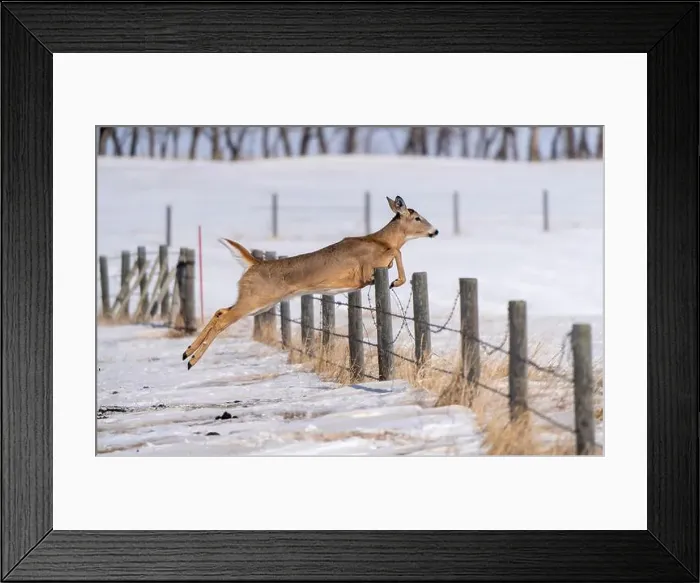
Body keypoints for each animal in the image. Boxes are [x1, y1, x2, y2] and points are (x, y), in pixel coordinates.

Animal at [182, 195, 439, 369]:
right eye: (417, 217)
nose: (435, 231)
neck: (379, 240)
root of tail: (254, 264)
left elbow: (395, 254)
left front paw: (395, 279)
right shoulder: (367, 268)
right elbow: (397, 253)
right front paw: (396, 281)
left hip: (258, 302)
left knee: (220, 311)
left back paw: (187, 353)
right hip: (256, 298)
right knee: (223, 318)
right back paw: (191, 359)